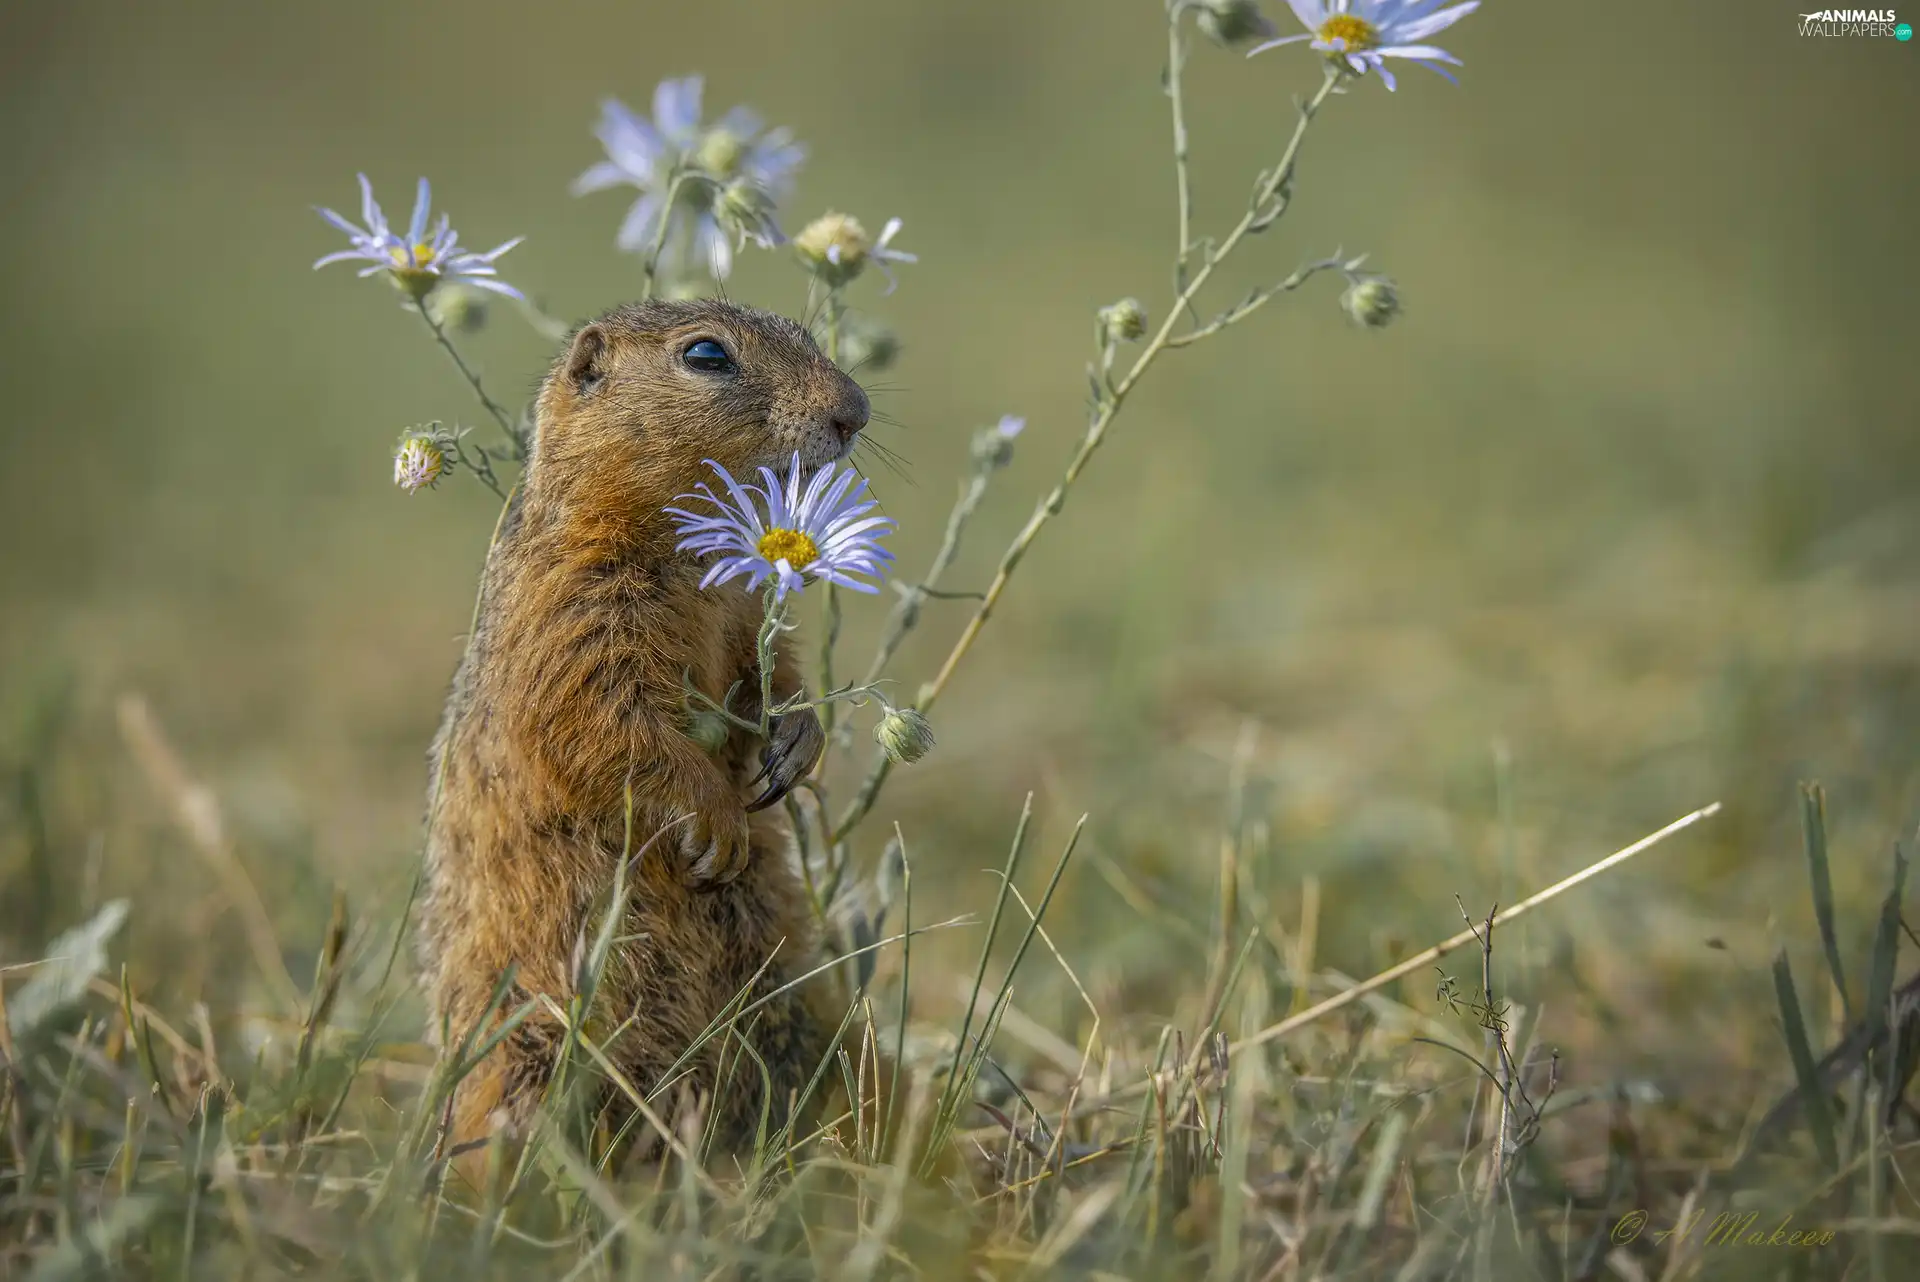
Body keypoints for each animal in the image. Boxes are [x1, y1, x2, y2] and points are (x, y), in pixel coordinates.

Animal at [422, 295, 879, 1174]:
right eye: (706, 355)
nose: (855, 411)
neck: (683, 546)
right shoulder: (572, 606)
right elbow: (605, 720)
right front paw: (718, 824)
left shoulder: (744, 606)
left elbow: (775, 672)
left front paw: (793, 747)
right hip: (534, 1045)